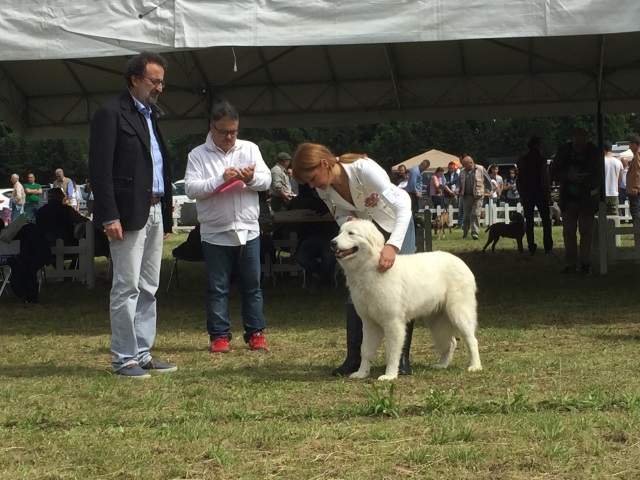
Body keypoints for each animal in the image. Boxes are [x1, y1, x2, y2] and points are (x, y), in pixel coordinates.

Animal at [331, 220, 482, 381]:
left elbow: (391, 353)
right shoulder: (369, 323)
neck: (370, 266)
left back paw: (475, 366)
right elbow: (365, 350)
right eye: (340, 232)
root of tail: (460, 261)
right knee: (451, 342)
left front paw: (390, 375)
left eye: (351, 233)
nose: (332, 243)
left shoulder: (393, 323)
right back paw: (442, 365)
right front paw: (361, 373)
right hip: (436, 319)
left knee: (472, 340)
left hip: (459, 313)